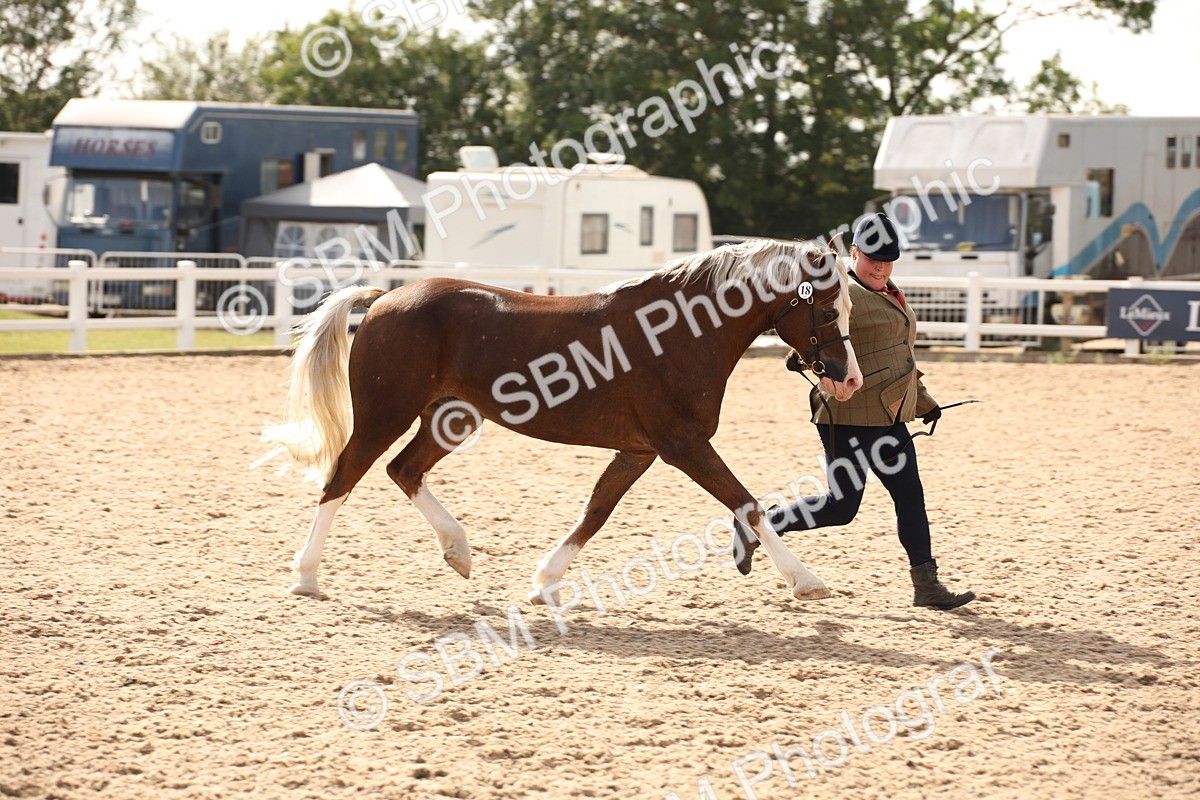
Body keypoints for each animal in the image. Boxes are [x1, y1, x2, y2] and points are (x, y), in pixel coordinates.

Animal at [263, 238, 864, 604]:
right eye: (826, 307)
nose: (849, 379)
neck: (681, 332)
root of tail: (387, 297)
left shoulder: (641, 450)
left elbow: (595, 512)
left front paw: (544, 582)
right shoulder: (683, 444)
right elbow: (748, 504)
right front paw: (806, 581)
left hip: (452, 419)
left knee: (404, 471)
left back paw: (458, 552)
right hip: (385, 414)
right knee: (342, 478)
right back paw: (306, 576)